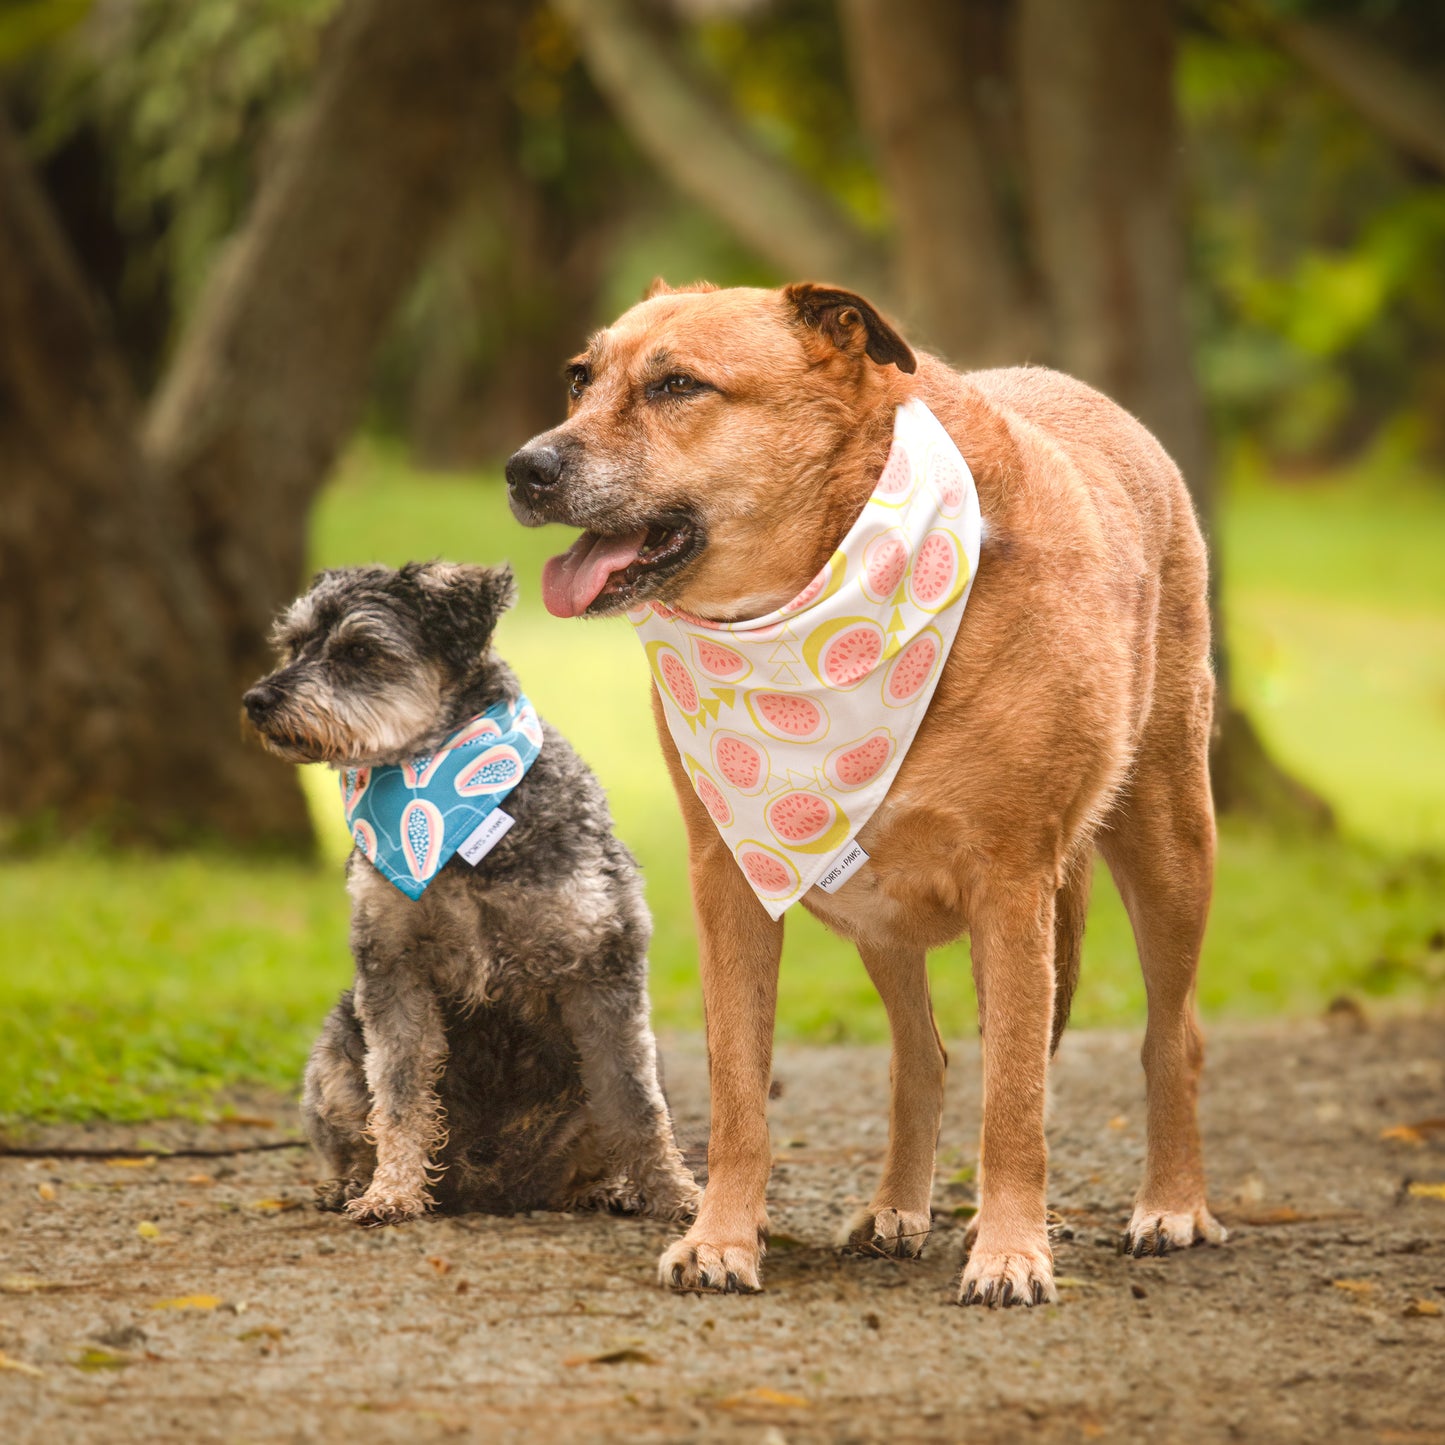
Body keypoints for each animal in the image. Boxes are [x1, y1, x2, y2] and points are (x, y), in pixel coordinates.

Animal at [242, 557, 699, 1225]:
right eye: (295, 644)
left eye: (359, 650)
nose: (256, 700)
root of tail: (495, 1189)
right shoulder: (394, 971)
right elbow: (399, 1097)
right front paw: (393, 1191)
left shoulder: (604, 968)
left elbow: (637, 1105)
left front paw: (676, 1195)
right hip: (334, 1049)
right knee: (354, 1127)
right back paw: (348, 1183)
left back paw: (605, 1186)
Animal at [502, 281, 1225, 1312]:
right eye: (579, 378)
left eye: (678, 386)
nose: (524, 469)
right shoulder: (731, 879)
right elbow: (737, 1089)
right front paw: (722, 1238)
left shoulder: (1013, 885)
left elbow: (1014, 1101)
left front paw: (1010, 1251)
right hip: (871, 899)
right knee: (922, 1054)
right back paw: (897, 1208)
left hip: (1167, 840)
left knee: (1174, 1034)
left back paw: (1170, 1203)